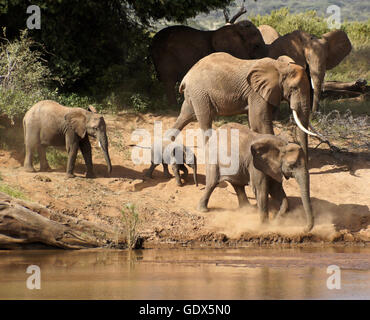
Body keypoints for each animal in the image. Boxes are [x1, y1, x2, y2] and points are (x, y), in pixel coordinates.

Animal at [171, 52, 318, 160]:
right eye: (294, 88)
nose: (306, 159)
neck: (279, 66)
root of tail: (186, 77)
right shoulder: (256, 93)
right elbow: (259, 121)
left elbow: (253, 122)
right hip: (200, 93)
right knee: (205, 119)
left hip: (194, 94)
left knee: (185, 115)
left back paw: (167, 141)